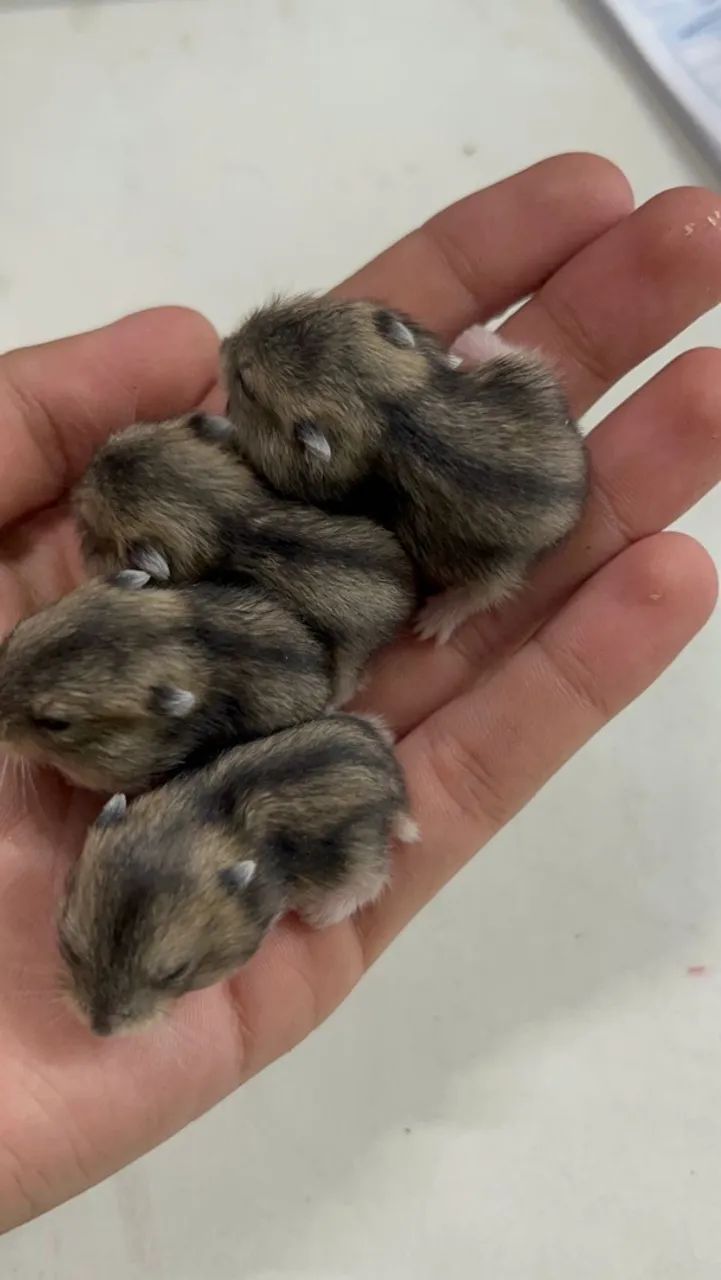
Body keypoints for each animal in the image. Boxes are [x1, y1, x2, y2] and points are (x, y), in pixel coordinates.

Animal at [58, 713, 418, 1036]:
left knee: (371, 882)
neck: (193, 819)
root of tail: (396, 783)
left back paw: (319, 915)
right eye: (69, 947)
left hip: (360, 857)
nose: (100, 1030)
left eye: (176, 972)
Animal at [221, 294, 588, 642]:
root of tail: (574, 493)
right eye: (298, 310)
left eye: (246, 385)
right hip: (527, 382)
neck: (379, 400)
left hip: (487, 565)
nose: (225, 342)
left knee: (487, 592)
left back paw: (433, 622)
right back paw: (472, 339)